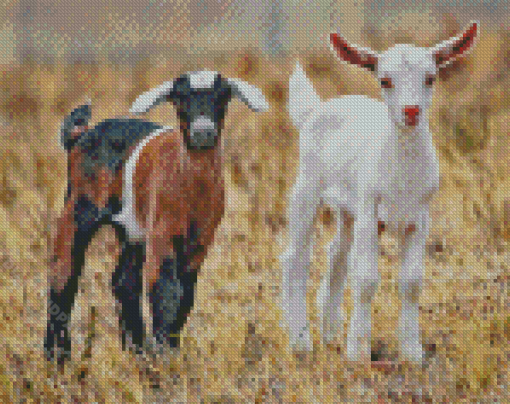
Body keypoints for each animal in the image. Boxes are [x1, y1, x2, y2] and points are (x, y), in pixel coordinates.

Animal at [282, 22, 478, 362]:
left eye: (431, 77)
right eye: (384, 80)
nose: (411, 111)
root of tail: (315, 109)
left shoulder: (419, 218)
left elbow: (412, 282)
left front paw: (412, 353)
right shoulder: (370, 211)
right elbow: (366, 279)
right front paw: (358, 353)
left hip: (347, 210)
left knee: (336, 254)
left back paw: (330, 332)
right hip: (308, 187)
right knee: (296, 258)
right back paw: (301, 343)